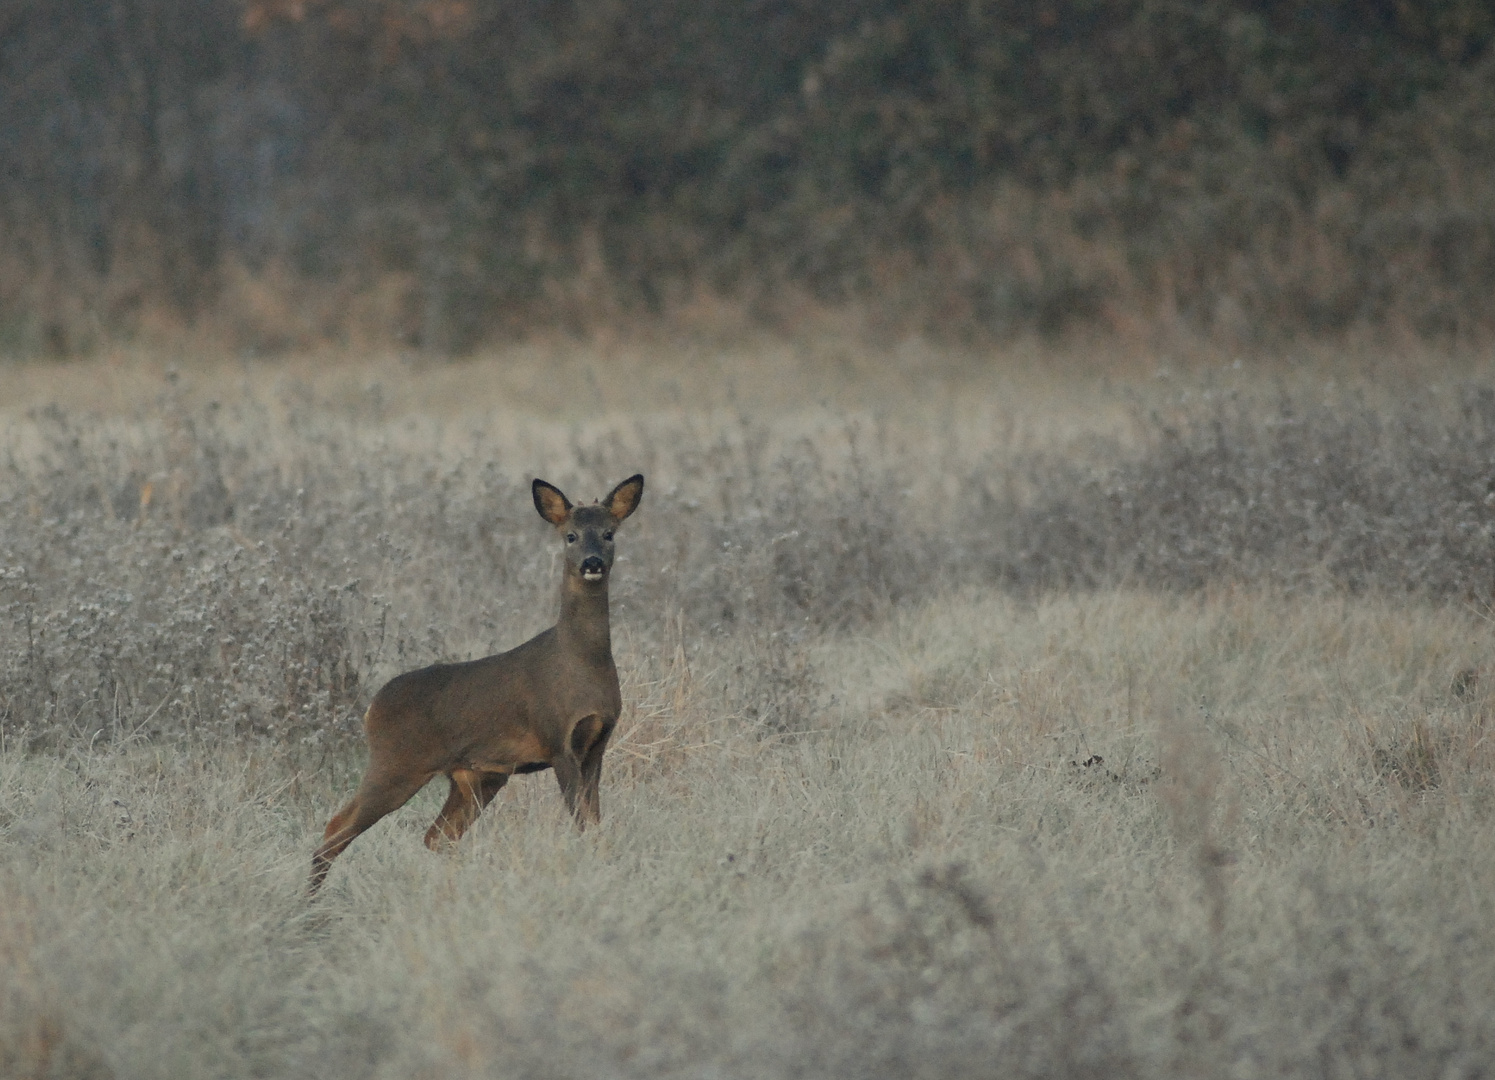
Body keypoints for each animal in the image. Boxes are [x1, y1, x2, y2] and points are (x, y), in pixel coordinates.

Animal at [309, 472, 642, 891]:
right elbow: (580, 822)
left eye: (609, 533)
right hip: (396, 763)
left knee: (436, 836)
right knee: (336, 829)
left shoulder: (598, 743)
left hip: (474, 777)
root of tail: (371, 708)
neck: (580, 663)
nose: (592, 562)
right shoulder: (556, 740)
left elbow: (595, 823)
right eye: (571, 535)